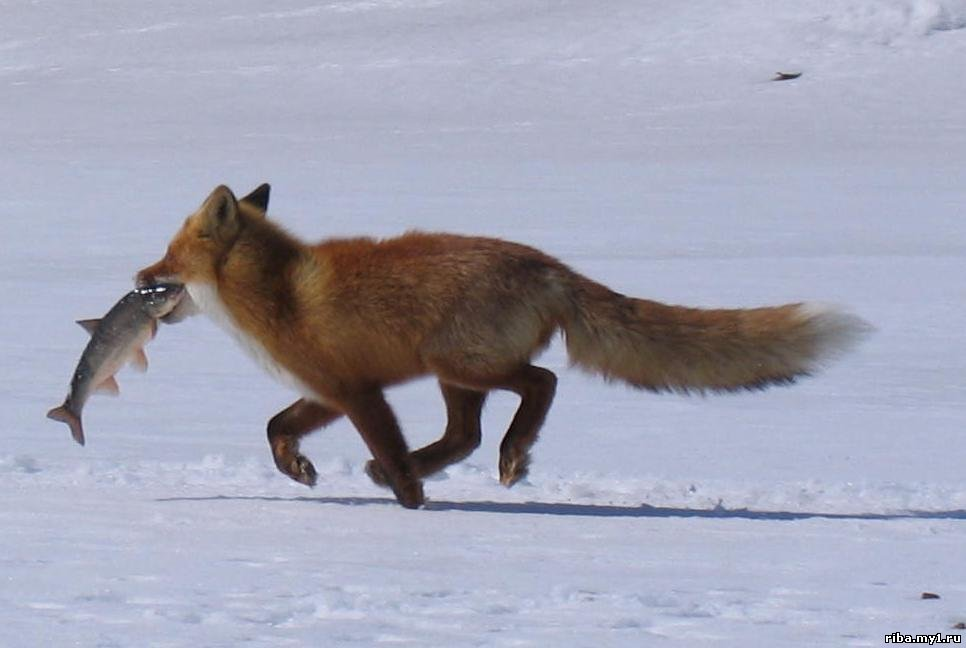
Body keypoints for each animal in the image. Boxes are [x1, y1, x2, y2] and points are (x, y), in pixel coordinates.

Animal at [140, 182, 872, 506]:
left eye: (169, 257)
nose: (137, 278)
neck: (280, 291)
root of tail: (551, 266)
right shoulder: (328, 390)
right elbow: (276, 427)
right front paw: (299, 469)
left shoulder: (358, 391)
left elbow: (389, 451)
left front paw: (411, 505)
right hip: (454, 376)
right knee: (464, 435)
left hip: (457, 361)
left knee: (540, 384)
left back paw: (513, 454)